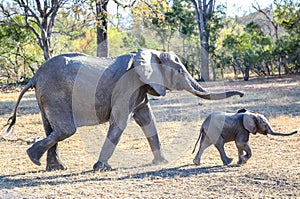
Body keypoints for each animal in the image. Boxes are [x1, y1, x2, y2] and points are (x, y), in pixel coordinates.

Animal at [5, 48, 244, 171]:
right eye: (179, 71)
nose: (242, 96)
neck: (151, 52)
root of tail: (35, 75)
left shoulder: (140, 87)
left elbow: (147, 119)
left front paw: (161, 163)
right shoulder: (129, 84)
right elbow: (120, 120)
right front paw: (101, 168)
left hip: (46, 95)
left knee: (51, 128)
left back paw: (53, 167)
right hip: (54, 93)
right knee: (65, 130)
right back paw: (33, 158)